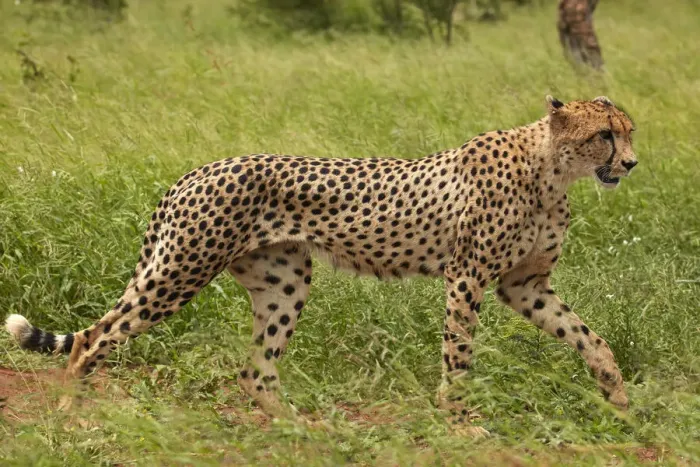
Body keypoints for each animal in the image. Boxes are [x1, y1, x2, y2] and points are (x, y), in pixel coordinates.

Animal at [6, 95, 637, 436]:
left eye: (630, 133)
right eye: (605, 135)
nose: (631, 164)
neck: (551, 170)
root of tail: (198, 169)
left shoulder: (524, 284)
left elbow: (589, 336)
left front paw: (618, 399)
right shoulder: (469, 278)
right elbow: (459, 357)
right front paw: (460, 421)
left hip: (284, 281)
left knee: (255, 370)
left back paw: (300, 426)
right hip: (180, 270)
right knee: (95, 338)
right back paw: (73, 416)